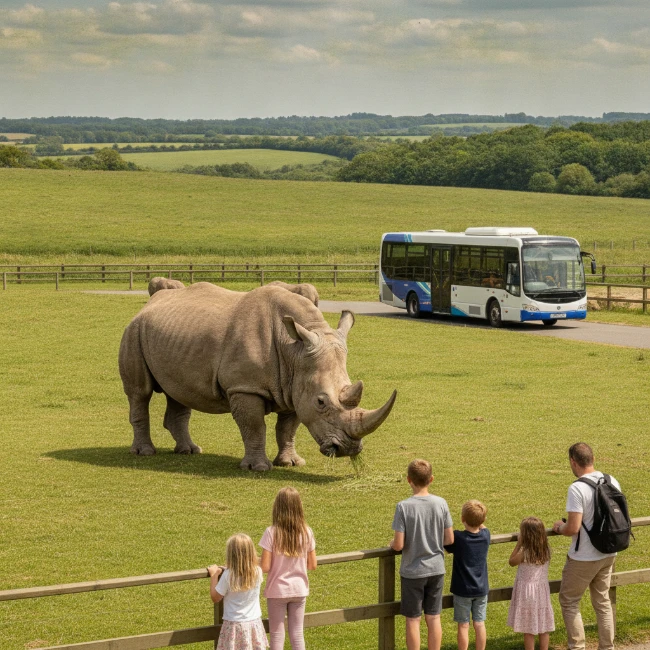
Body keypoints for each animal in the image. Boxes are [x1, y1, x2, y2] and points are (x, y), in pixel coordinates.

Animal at [118, 281, 396, 471]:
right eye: (321, 402)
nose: (348, 449)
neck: (293, 350)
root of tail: (150, 303)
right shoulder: (245, 386)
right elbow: (254, 426)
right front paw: (258, 468)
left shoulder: (295, 386)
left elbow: (287, 428)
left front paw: (291, 463)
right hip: (133, 331)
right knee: (139, 392)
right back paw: (145, 453)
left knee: (178, 392)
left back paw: (190, 451)